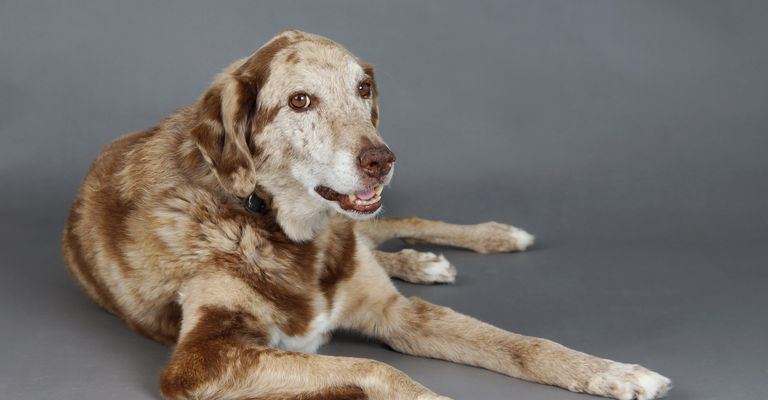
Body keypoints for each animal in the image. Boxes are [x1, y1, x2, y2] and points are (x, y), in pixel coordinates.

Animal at [61, 31, 672, 400]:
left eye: (363, 88)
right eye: (300, 101)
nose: (382, 160)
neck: (289, 234)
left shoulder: (397, 313)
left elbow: (524, 345)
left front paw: (613, 371)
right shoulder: (201, 361)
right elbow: (376, 367)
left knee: (393, 228)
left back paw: (478, 241)